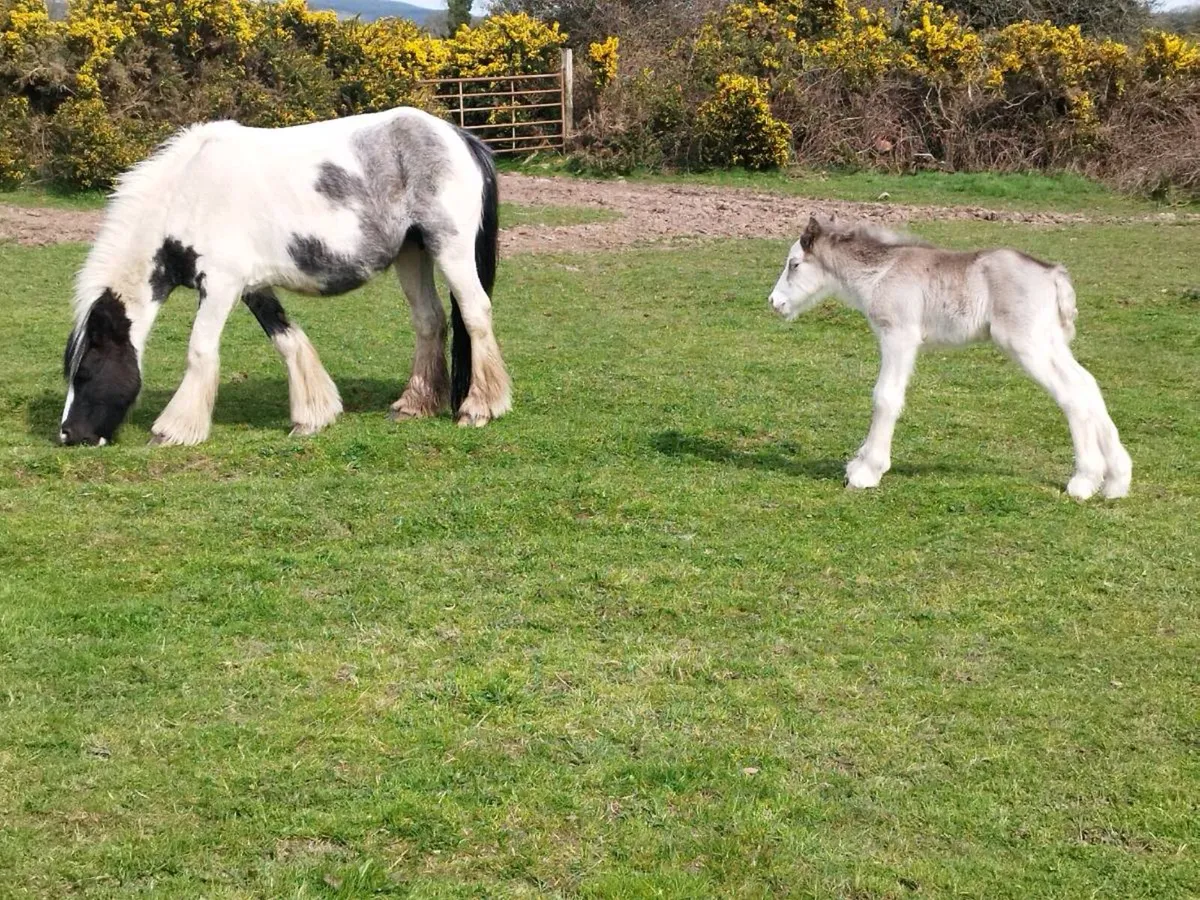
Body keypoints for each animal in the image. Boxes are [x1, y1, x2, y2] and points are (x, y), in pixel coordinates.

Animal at [60, 106, 510, 447]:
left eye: (85, 372)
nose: (69, 435)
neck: (189, 195)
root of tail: (458, 136)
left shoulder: (220, 286)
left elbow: (200, 350)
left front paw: (173, 429)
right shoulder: (253, 288)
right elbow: (287, 339)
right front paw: (313, 416)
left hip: (450, 249)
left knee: (475, 313)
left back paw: (479, 408)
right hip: (413, 253)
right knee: (429, 321)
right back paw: (414, 405)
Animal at [768, 217, 1132, 500]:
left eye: (794, 264)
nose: (774, 302)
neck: (881, 272)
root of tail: (1054, 274)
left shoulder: (899, 336)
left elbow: (886, 397)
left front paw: (867, 471)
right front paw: (859, 462)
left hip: (1026, 344)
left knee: (1071, 394)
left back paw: (1084, 481)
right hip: (1050, 342)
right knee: (1087, 384)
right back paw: (1116, 480)